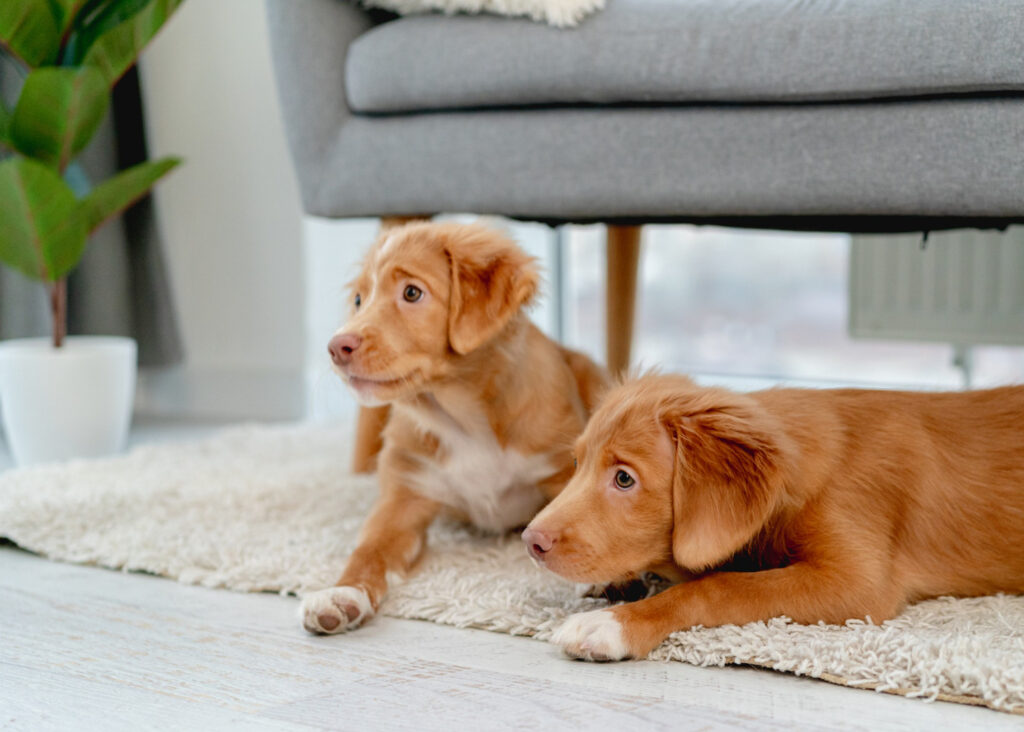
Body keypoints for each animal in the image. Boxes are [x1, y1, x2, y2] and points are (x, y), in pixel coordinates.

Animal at [301, 220, 606, 634]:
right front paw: (343, 593)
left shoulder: (563, 471)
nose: (336, 347)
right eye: (360, 300)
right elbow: (368, 549)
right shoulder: (403, 500)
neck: (462, 416)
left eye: (412, 293)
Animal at [524, 374, 1024, 663]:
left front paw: (614, 623)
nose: (531, 542)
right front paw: (613, 584)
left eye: (624, 479)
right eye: (576, 463)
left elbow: (717, 586)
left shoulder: (857, 582)